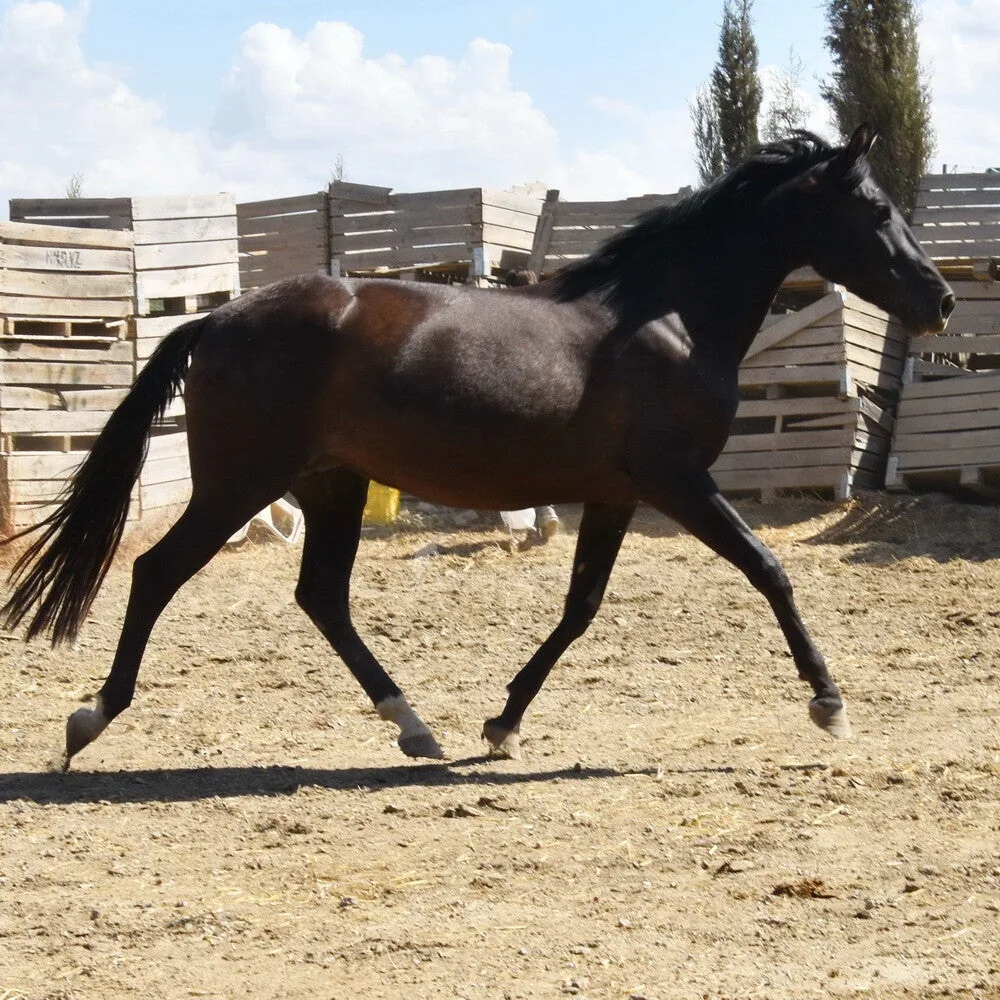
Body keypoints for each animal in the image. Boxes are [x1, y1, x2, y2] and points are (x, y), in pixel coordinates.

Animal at [1, 126, 954, 770]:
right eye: (874, 209)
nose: (940, 299)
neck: (671, 319)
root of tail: (220, 317)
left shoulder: (615, 494)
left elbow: (580, 608)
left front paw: (502, 724)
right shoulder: (678, 483)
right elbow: (770, 570)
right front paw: (829, 703)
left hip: (332, 485)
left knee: (322, 598)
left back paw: (415, 726)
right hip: (241, 483)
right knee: (157, 573)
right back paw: (89, 721)